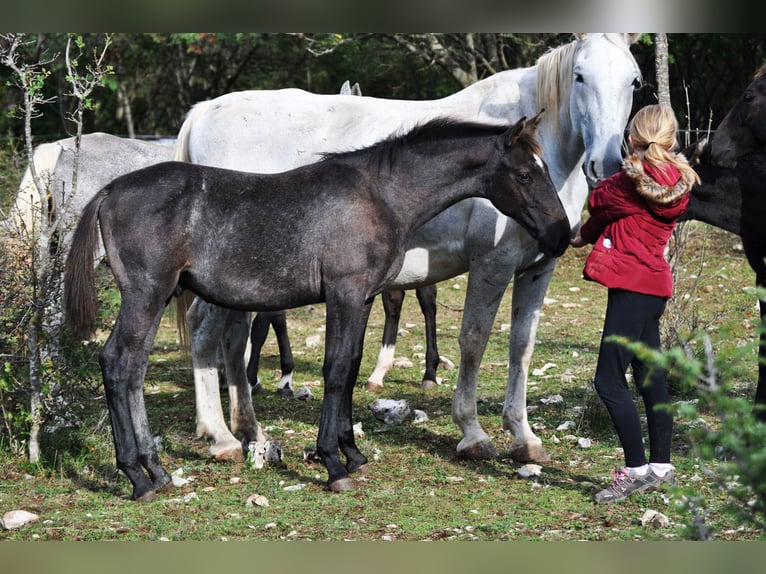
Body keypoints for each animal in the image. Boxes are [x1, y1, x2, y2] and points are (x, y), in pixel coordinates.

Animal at [64, 115, 568, 502]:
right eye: (525, 174)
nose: (561, 234)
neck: (380, 195)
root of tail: (110, 190)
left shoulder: (363, 298)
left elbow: (352, 365)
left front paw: (353, 454)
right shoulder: (343, 293)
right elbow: (335, 369)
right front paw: (333, 464)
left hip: (159, 296)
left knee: (132, 369)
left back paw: (157, 470)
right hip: (147, 294)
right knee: (119, 363)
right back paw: (138, 476)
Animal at [176, 32, 640, 464]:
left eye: (634, 80)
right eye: (579, 76)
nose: (606, 164)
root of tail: (205, 112)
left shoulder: (537, 269)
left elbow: (521, 348)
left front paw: (523, 436)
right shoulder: (492, 265)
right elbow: (473, 341)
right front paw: (473, 433)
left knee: (232, 337)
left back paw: (249, 429)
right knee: (205, 331)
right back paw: (221, 437)